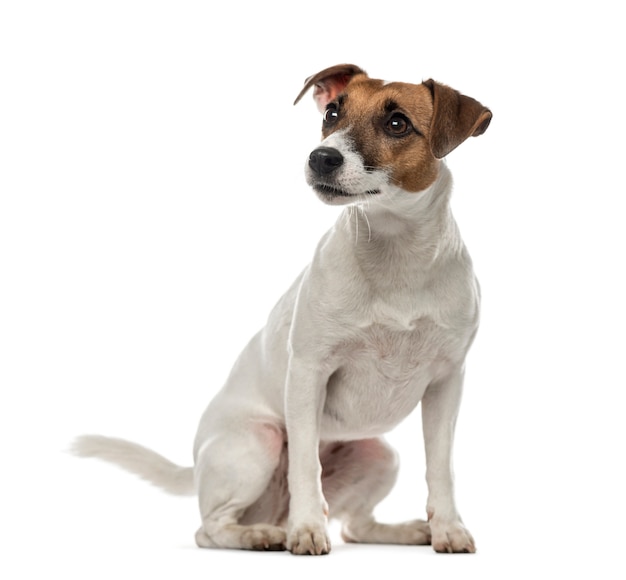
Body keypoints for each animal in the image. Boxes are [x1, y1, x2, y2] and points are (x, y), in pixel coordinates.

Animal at [73, 62, 490, 552]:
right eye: (332, 113)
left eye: (397, 123)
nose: (320, 157)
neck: (394, 251)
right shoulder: (309, 373)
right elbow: (306, 466)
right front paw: (307, 528)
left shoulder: (446, 383)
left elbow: (440, 467)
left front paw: (448, 528)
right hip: (260, 442)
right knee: (210, 528)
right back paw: (264, 533)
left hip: (379, 453)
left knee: (355, 524)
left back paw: (403, 530)